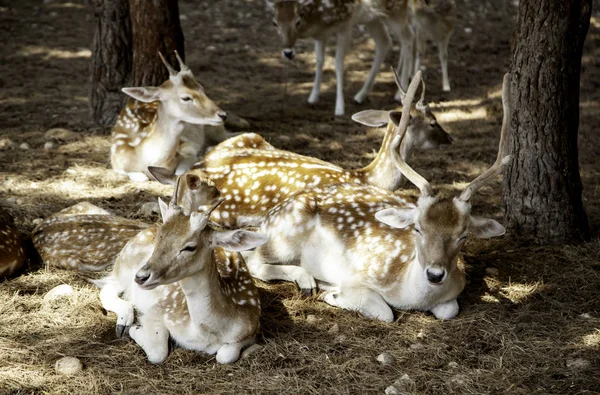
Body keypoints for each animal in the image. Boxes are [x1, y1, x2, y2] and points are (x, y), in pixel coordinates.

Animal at [94, 198, 268, 366]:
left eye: (190, 247)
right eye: (159, 238)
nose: (141, 276)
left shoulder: (252, 330)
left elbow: (225, 355)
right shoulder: (156, 311)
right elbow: (158, 352)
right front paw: (135, 328)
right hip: (124, 265)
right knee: (107, 288)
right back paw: (124, 321)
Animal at [109, 51, 227, 183]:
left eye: (202, 89)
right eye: (186, 97)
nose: (222, 115)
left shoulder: (187, 150)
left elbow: (181, 171)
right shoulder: (116, 161)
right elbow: (140, 177)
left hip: (216, 129)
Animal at [192, 70, 450, 229]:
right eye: (433, 122)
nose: (449, 138)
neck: (366, 177)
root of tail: (195, 168)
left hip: (251, 137)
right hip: (226, 213)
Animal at [244, 72, 510, 322]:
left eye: (463, 235)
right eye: (418, 229)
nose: (435, 274)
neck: (408, 293)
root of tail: (268, 218)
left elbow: (449, 309)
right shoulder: (357, 274)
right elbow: (384, 311)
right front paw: (332, 293)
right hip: (283, 239)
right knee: (253, 260)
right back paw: (307, 280)